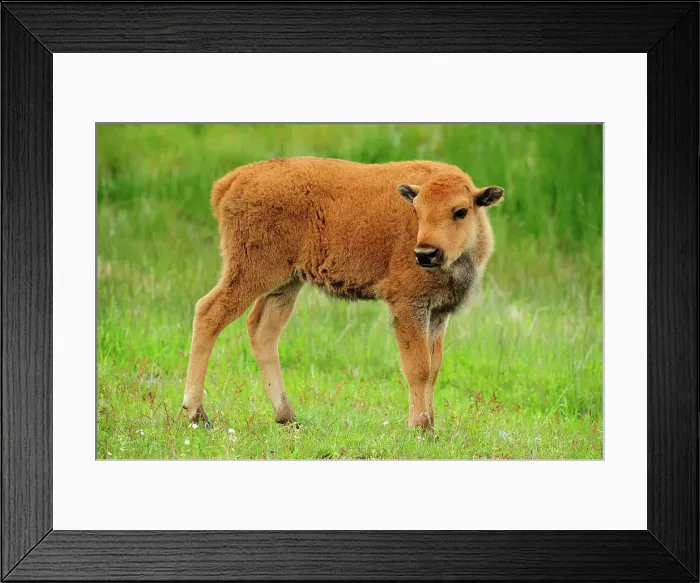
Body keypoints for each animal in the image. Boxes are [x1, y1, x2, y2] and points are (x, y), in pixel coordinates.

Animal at [182, 157, 504, 432]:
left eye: (460, 211)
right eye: (418, 211)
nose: (425, 253)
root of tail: (232, 181)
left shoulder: (437, 313)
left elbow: (434, 368)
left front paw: (432, 426)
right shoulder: (407, 306)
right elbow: (418, 368)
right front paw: (420, 428)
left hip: (286, 283)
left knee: (262, 330)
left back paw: (288, 417)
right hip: (251, 273)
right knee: (209, 313)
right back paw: (197, 414)